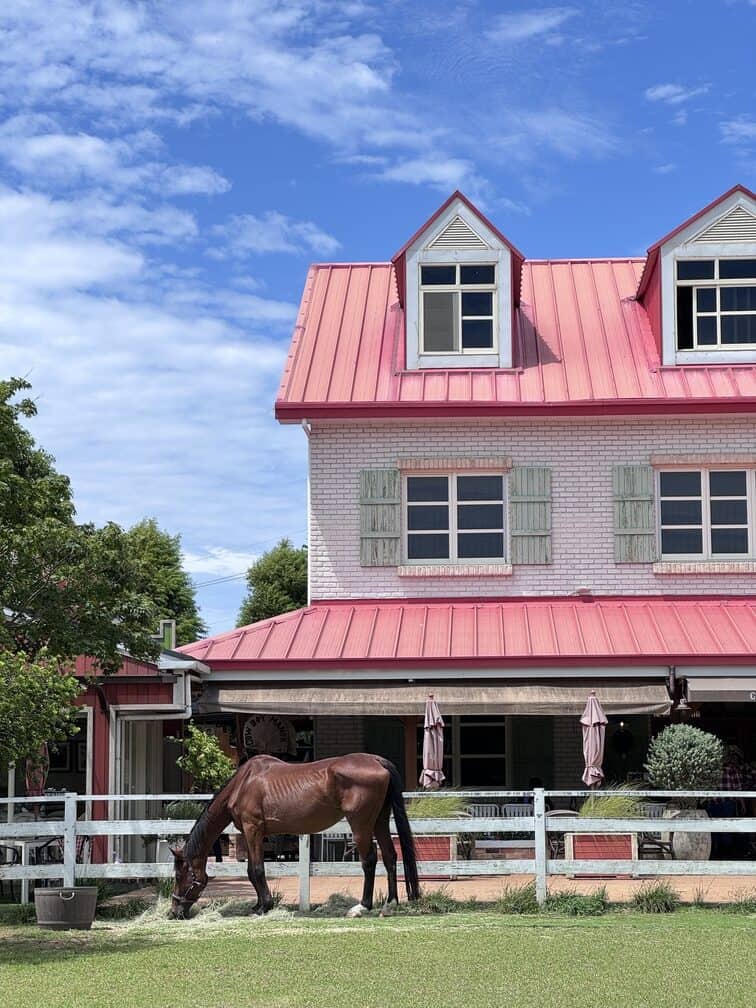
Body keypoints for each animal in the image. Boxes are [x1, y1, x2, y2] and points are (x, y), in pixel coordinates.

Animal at [168, 753, 423, 919]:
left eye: (181, 875)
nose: (174, 912)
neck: (244, 783)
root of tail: (377, 761)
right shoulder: (253, 834)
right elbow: (252, 869)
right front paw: (258, 905)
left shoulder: (253, 829)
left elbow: (256, 869)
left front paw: (265, 906)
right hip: (379, 820)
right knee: (390, 857)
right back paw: (390, 904)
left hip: (361, 824)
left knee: (369, 860)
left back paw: (361, 907)